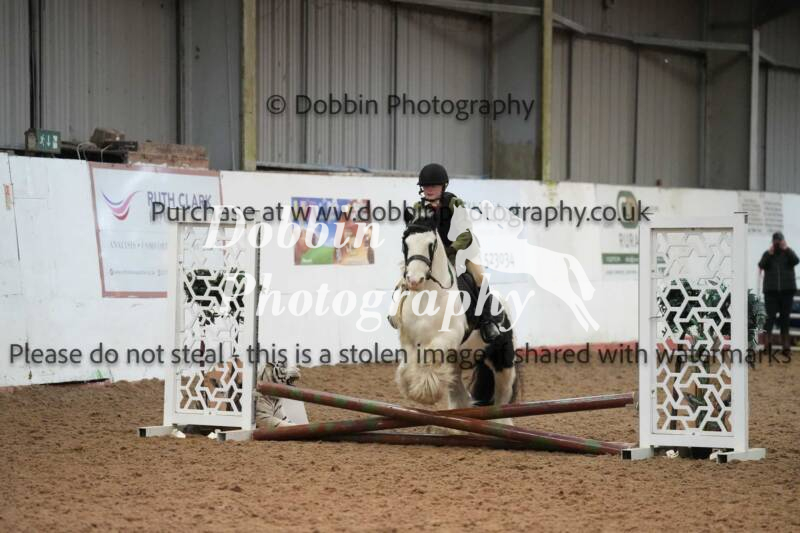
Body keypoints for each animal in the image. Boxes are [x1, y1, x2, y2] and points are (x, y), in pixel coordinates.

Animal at [392, 211, 519, 424]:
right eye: (404, 242)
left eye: (431, 244)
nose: (414, 280)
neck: (428, 297)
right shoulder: (409, 340)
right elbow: (409, 361)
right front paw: (411, 386)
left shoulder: (448, 336)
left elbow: (429, 353)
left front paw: (424, 391)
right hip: (458, 365)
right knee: (461, 397)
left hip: (503, 362)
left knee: (503, 397)